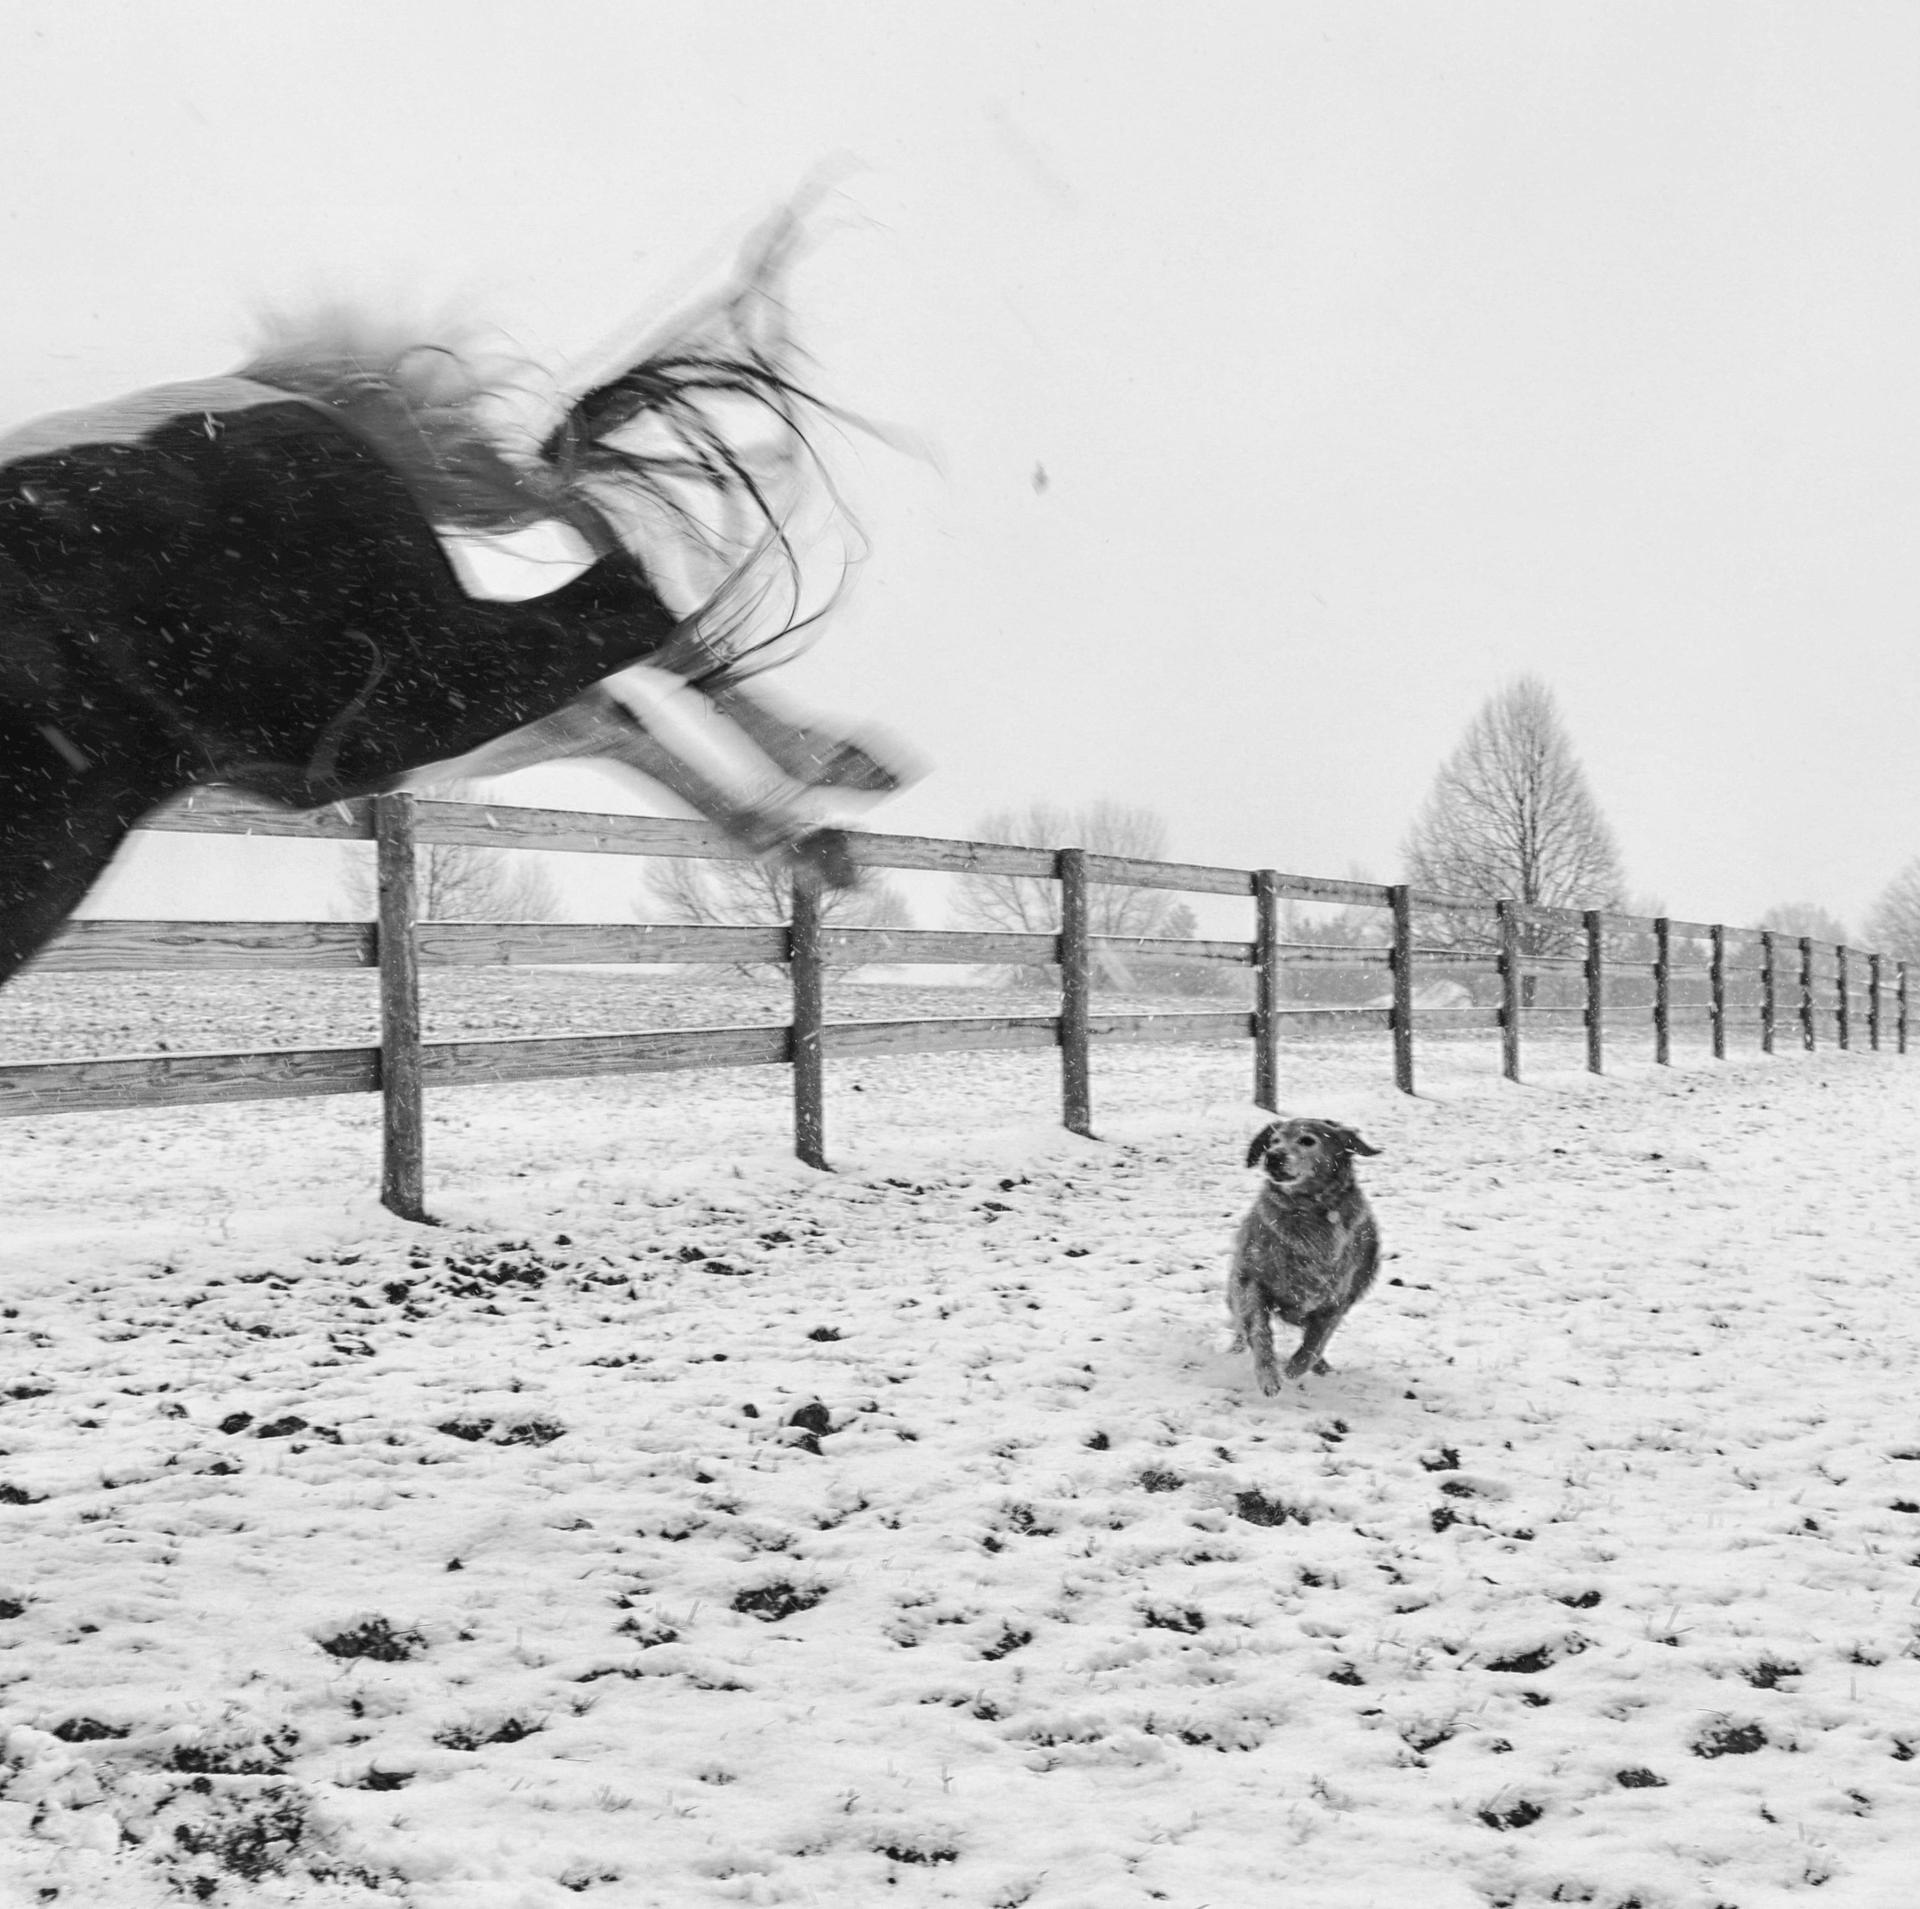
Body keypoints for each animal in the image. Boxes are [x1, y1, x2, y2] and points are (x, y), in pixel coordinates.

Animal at [1, 226, 898, 983]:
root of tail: (250, 391)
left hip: (379, 696)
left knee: (609, 567)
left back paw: (824, 770)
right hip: (365, 734)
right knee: (600, 690)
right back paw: (808, 831)